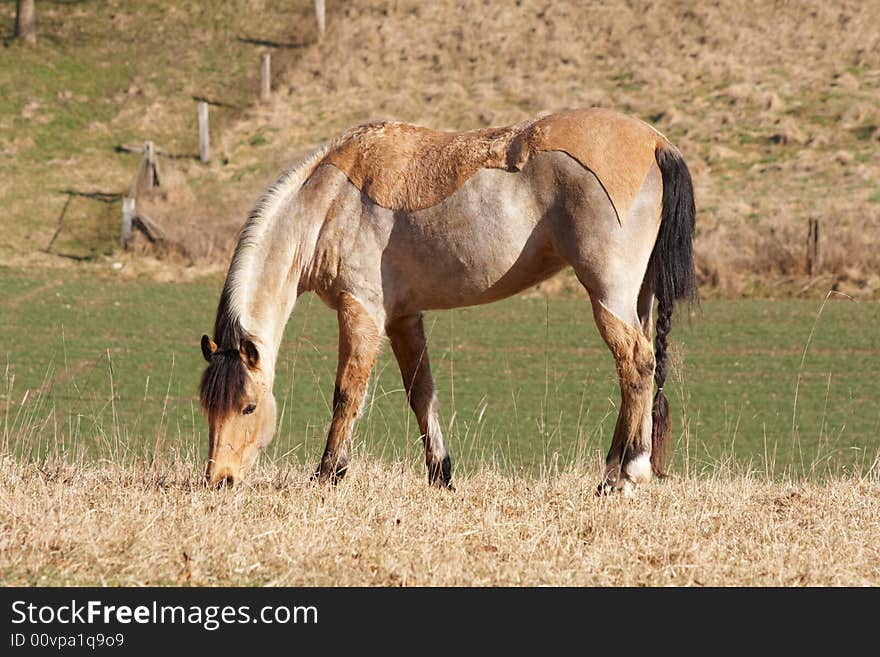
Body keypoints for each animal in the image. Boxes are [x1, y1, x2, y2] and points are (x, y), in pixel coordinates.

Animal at [198, 107, 696, 494]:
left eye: (248, 406)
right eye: (207, 406)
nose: (219, 480)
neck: (328, 200)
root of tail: (656, 143)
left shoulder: (361, 310)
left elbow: (347, 393)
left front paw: (328, 474)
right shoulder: (402, 318)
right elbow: (422, 393)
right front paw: (441, 475)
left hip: (609, 296)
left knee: (636, 364)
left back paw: (623, 476)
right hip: (638, 298)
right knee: (641, 368)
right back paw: (620, 468)